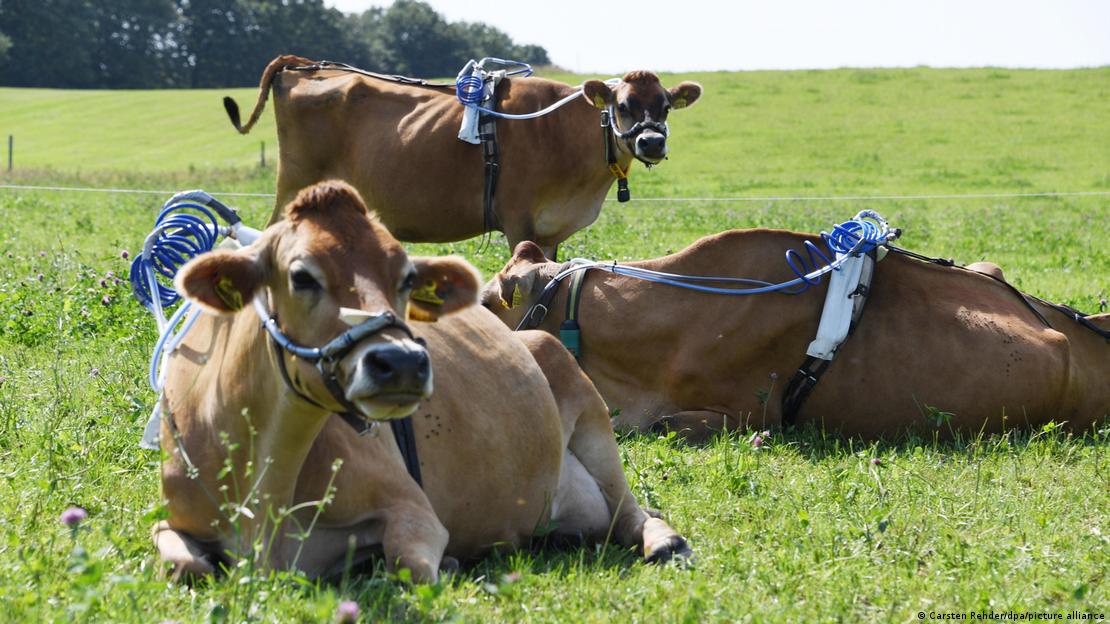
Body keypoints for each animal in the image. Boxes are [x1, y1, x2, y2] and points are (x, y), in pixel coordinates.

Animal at [152, 181, 690, 582]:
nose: (402, 361)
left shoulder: (412, 507)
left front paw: (445, 563)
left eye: (408, 276)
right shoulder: (174, 519)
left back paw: (664, 541)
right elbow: (183, 562)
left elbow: (409, 565)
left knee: (631, 512)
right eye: (301, 276)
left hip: (586, 408)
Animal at [223, 55, 702, 258]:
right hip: (294, 184)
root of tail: (304, 66)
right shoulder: (518, 220)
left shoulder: (551, 229)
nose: (652, 143)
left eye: (664, 106)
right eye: (622, 105)